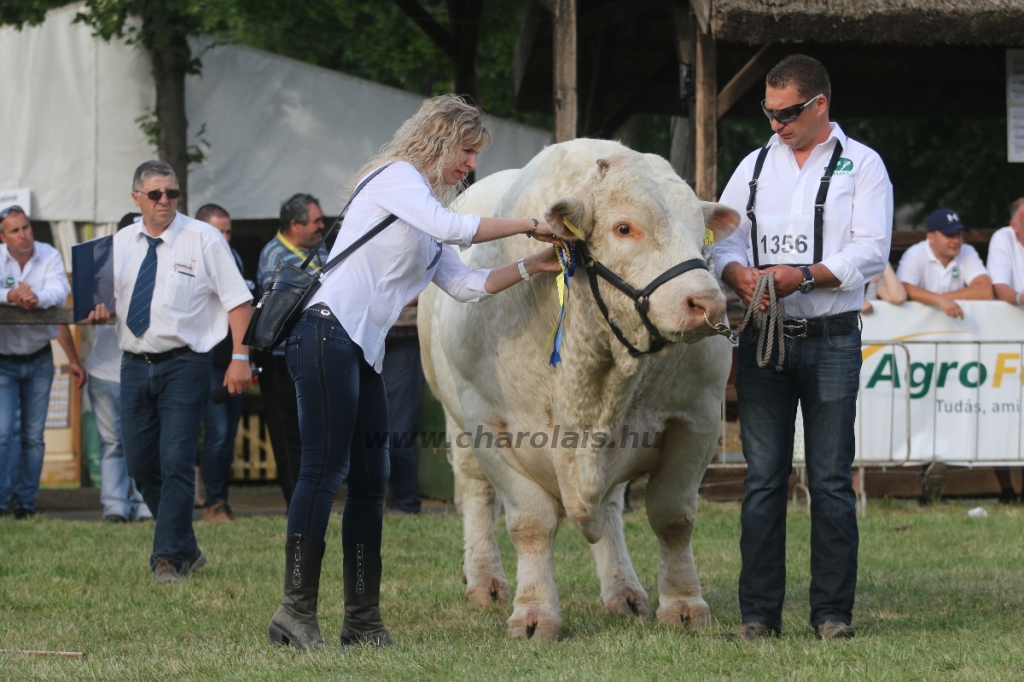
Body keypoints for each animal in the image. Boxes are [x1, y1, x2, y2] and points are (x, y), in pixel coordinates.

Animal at [419, 138, 741, 638]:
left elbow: (673, 517)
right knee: (474, 494)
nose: (707, 303)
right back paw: (485, 580)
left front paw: (684, 603)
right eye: (624, 227)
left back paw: (623, 590)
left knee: (607, 508)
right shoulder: (489, 423)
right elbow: (530, 522)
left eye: (699, 232)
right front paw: (534, 612)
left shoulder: (698, 419)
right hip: (455, 420)